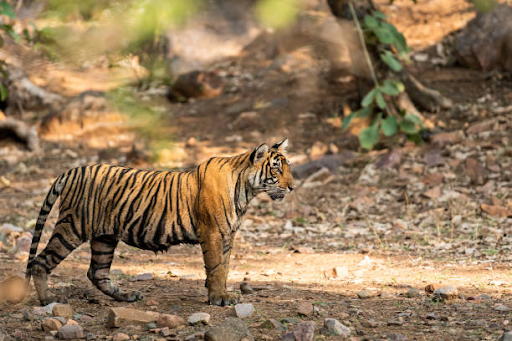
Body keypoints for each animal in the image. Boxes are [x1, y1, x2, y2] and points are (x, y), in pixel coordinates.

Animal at [26, 138, 294, 306]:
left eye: (287, 168)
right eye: (276, 170)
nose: (292, 187)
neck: (246, 190)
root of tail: (73, 170)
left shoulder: (228, 235)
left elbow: (225, 267)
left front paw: (219, 293)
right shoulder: (213, 234)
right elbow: (217, 267)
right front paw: (219, 298)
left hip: (105, 237)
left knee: (97, 272)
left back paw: (126, 296)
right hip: (72, 226)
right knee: (40, 261)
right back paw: (48, 300)